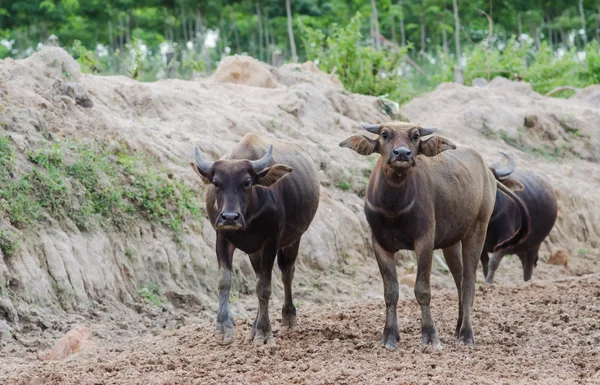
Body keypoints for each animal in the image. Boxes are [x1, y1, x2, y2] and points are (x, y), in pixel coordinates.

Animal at [195, 132, 322, 344]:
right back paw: (253, 327)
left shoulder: (271, 241)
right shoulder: (222, 237)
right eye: (217, 183)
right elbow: (225, 281)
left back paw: (288, 317)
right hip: (255, 252)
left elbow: (264, 287)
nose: (230, 217)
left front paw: (264, 331)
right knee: (258, 277)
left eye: (247, 182)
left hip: (294, 239)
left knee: (287, 273)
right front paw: (224, 326)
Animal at [338, 122, 528, 348]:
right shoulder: (380, 244)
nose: (402, 153)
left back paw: (466, 334)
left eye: (416, 136)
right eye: (384, 134)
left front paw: (430, 335)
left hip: (478, 229)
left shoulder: (424, 242)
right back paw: (457, 328)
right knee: (459, 280)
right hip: (451, 243)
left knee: (469, 281)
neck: (394, 208)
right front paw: (389, 336)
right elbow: (391, 292)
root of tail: (489, 175)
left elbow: (422, 290)